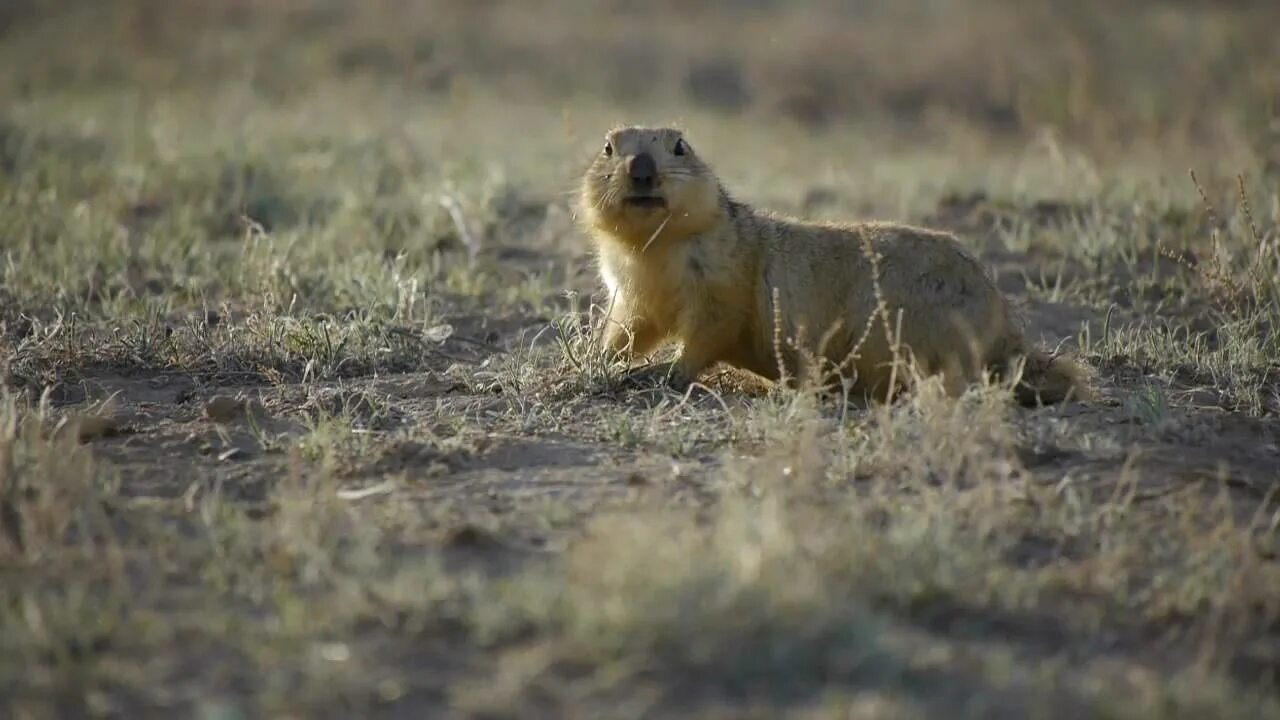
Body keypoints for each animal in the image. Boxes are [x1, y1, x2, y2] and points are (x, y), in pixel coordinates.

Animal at [581, 124, 1090, 404]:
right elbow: (631, 325)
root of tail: (1004, 325)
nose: (641, 168)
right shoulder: (629, 287)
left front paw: (663, 373)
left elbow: (710, 327)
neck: (653, 246)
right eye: (607, 147)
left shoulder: (721, 276)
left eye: (680, 145)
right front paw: (599, 359)